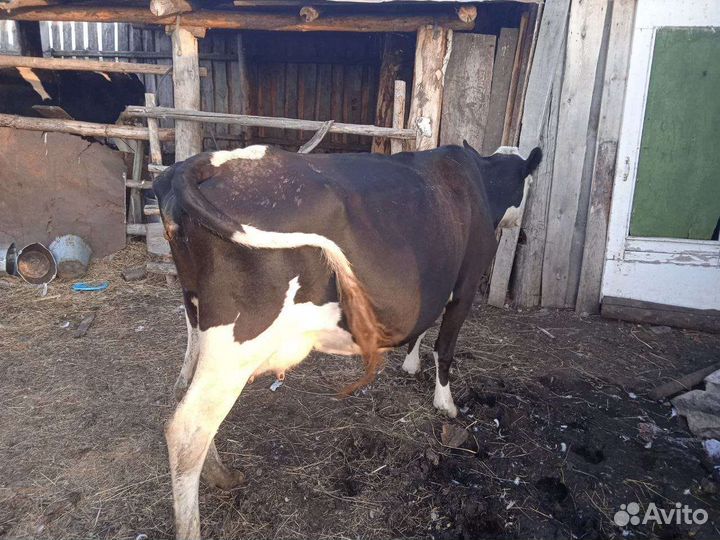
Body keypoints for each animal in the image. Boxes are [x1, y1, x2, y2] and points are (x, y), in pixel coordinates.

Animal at [153, 141, 542, 539]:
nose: (525, 230)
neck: (478, 181)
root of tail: (207, 161)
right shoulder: (465, 286)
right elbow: (444, 349)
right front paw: (446, 405)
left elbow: (421, 328)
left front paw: (411, 364)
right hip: (240, 337)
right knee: (187, 431)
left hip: (198, 319)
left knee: (186, 396)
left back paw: (223, 475)